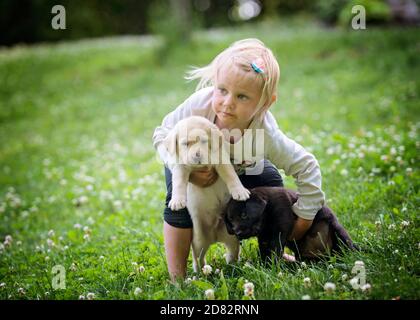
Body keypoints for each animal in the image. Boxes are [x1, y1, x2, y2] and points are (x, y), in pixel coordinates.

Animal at [163, 116, 249, 272]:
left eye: (204, 141)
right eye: (185, 144)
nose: (197, 154)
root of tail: (215, 237)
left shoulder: (221, 159)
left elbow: (231, 175)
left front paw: (239, 191)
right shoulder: (180, 166)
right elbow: (178, 182)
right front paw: (177, 201)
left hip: (233, 237)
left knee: (232, 252)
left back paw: (234, 267)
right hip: (198, 241)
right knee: (198, 258)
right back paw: (201, 272)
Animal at [225, 186, 356, 262]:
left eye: (244, 215)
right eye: (230, 220)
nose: (237, 233)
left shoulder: (279, 231)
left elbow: (275, 249)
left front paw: (272, 267)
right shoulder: (263, 238)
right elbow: (264, 252)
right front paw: (265, 266)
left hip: (338, 231)